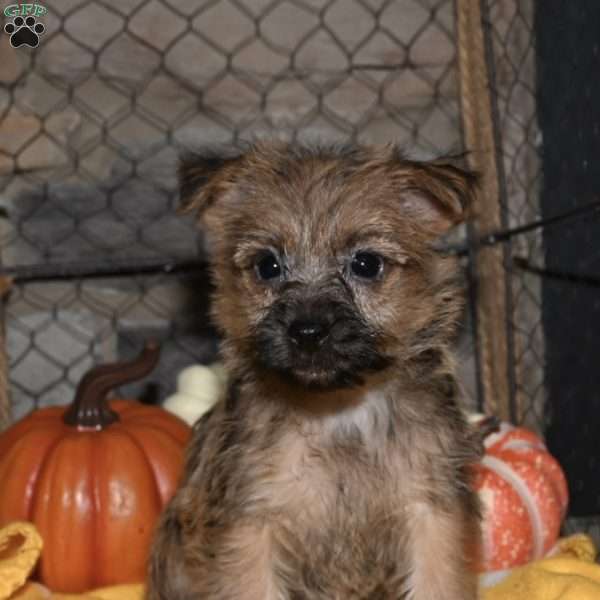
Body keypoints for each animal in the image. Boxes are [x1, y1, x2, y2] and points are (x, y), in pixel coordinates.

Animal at [148, 143, 480, 596]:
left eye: (366, 264)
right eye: (267, 266)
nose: (307, 331)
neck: (338, 411)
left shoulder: (431, 511)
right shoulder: (251, 523)